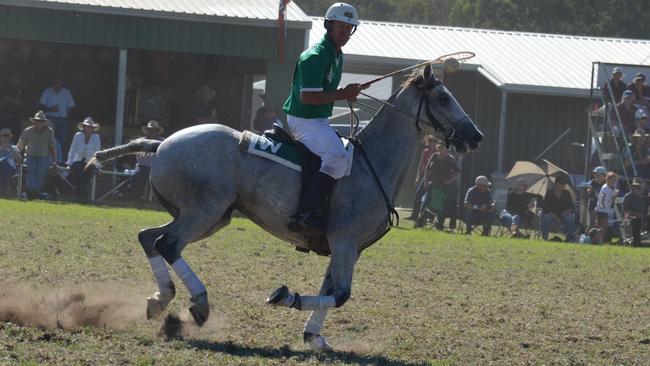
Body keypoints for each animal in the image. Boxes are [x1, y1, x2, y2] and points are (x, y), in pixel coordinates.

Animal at [93, 64, 484, 350]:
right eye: (443, 97)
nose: (476, 136)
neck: (373, 162)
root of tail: (159, 144)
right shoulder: (344, 240)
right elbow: (341, 294)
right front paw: (283, 297)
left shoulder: (346, 247)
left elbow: (330, 291)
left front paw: (314, 337)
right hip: (204, 209)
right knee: (168, 243)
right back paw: (199, 304)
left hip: (210, 216)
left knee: (149, 237)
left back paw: (161, 299)